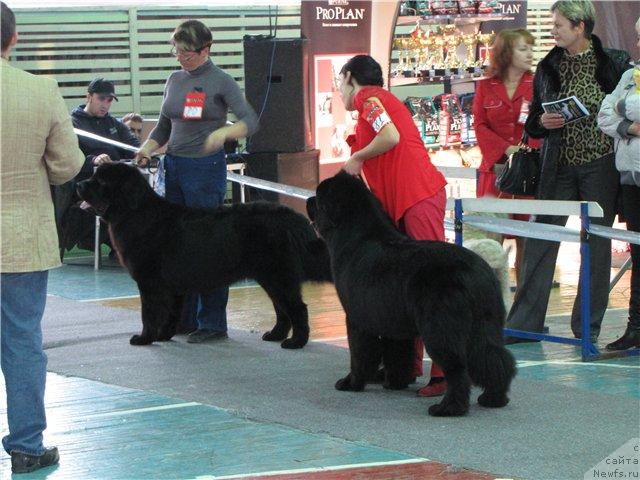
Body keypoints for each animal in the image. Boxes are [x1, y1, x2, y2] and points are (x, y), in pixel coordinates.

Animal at [77, 163, 332, 346]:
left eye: (100, 181)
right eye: (93, 177)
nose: (78, 184)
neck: (135, 212)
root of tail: (292, 217)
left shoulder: (149, 282)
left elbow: (148, 313)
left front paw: (144, 338)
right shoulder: (173, 286)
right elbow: (171, 313)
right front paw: (164, 335)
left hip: (278, 275)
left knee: (297, 308)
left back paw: (296, 342)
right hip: (270, 277)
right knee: (282, 308)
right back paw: (275, 335)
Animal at [308, 172, 516, 416]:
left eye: (319, 196)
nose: (308, 200)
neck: (354, 236)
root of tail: (479, 272)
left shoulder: (357, 318)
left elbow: (359, 353)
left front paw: (351, 383)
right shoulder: (391, 319)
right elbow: (399, 352)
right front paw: (395, 382)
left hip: (439, 328)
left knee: (457, 368)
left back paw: (448, 408)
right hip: (484, 324)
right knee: (494, 357)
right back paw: (494, 398)